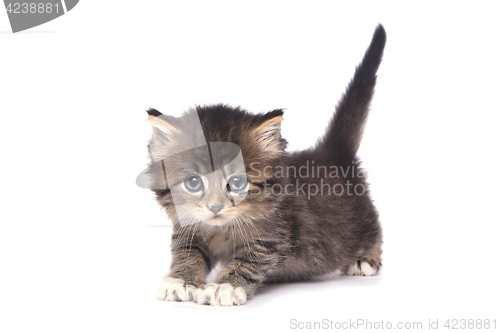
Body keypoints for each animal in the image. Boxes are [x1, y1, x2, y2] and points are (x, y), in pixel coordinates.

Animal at [146, 24, 384, 304]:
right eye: (193, 183)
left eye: (237, 182)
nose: (215, 207)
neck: (222, 228)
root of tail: (333, 152)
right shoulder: (188, 229)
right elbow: (187, 253)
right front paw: (179, 280)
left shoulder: (272, 239)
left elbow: (246, 261)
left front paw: (223, 286)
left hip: (357, 222)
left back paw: (365, 258)